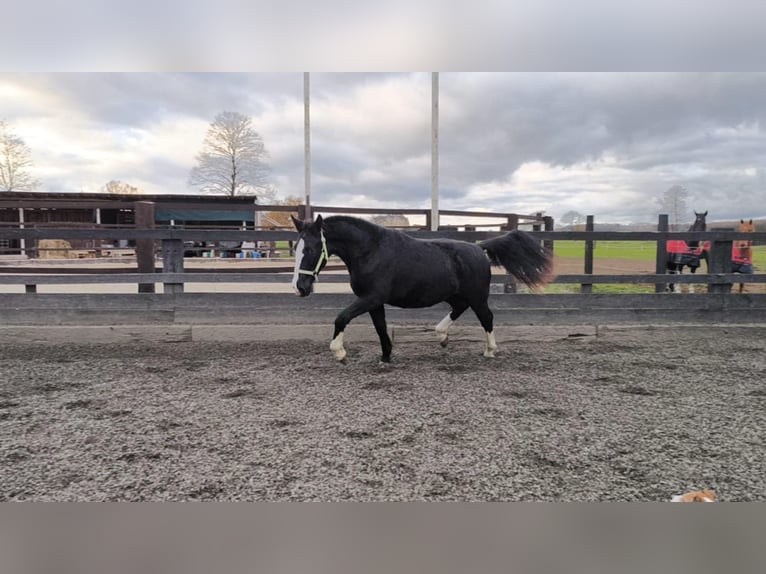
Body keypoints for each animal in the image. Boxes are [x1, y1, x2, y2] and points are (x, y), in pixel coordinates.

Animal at [292, 216, 552, 364]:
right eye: (296, 248)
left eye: (311, 249)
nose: (300, 287)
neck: (371, 252)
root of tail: (479, 249)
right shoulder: (373, 301)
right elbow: (380, 327)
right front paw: (385, 357)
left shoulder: (371, 298)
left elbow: (341, 317)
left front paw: (339, 353)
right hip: (456, 295)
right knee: (460, 308)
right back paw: (442, 336)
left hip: (478, 296)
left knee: (486, 317)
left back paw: (489, 351)